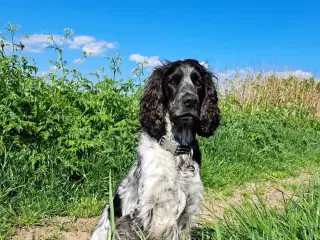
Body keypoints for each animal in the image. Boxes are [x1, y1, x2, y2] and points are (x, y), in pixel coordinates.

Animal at [90, 58, 220, 240]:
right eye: (172, 81)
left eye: (199, 82)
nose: (190, 100)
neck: (176, 151)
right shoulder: (140, 213)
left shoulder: (187, 209)